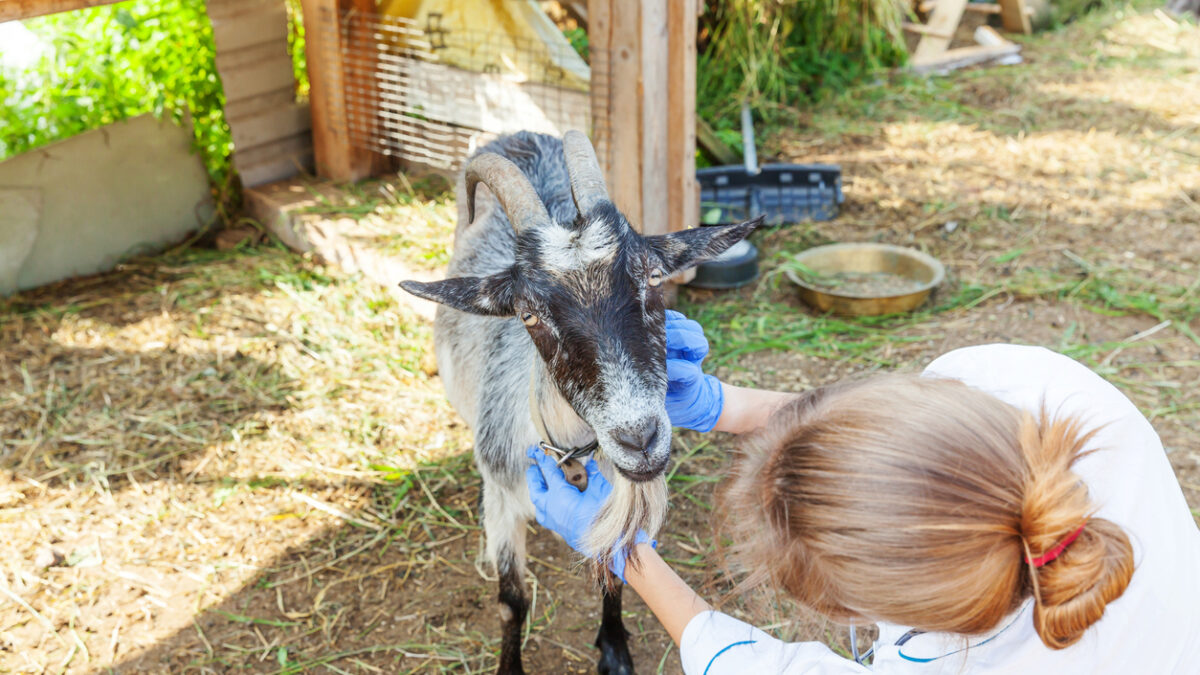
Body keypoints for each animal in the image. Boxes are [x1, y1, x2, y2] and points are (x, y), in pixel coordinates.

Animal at [403, 128, 758, 667]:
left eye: (653, 278)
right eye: (527, 314)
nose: (639, 439)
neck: (567, 451)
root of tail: (520, 133)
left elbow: (614, 570)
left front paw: (614, 651)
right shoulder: (501, 502)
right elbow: (512, 601)